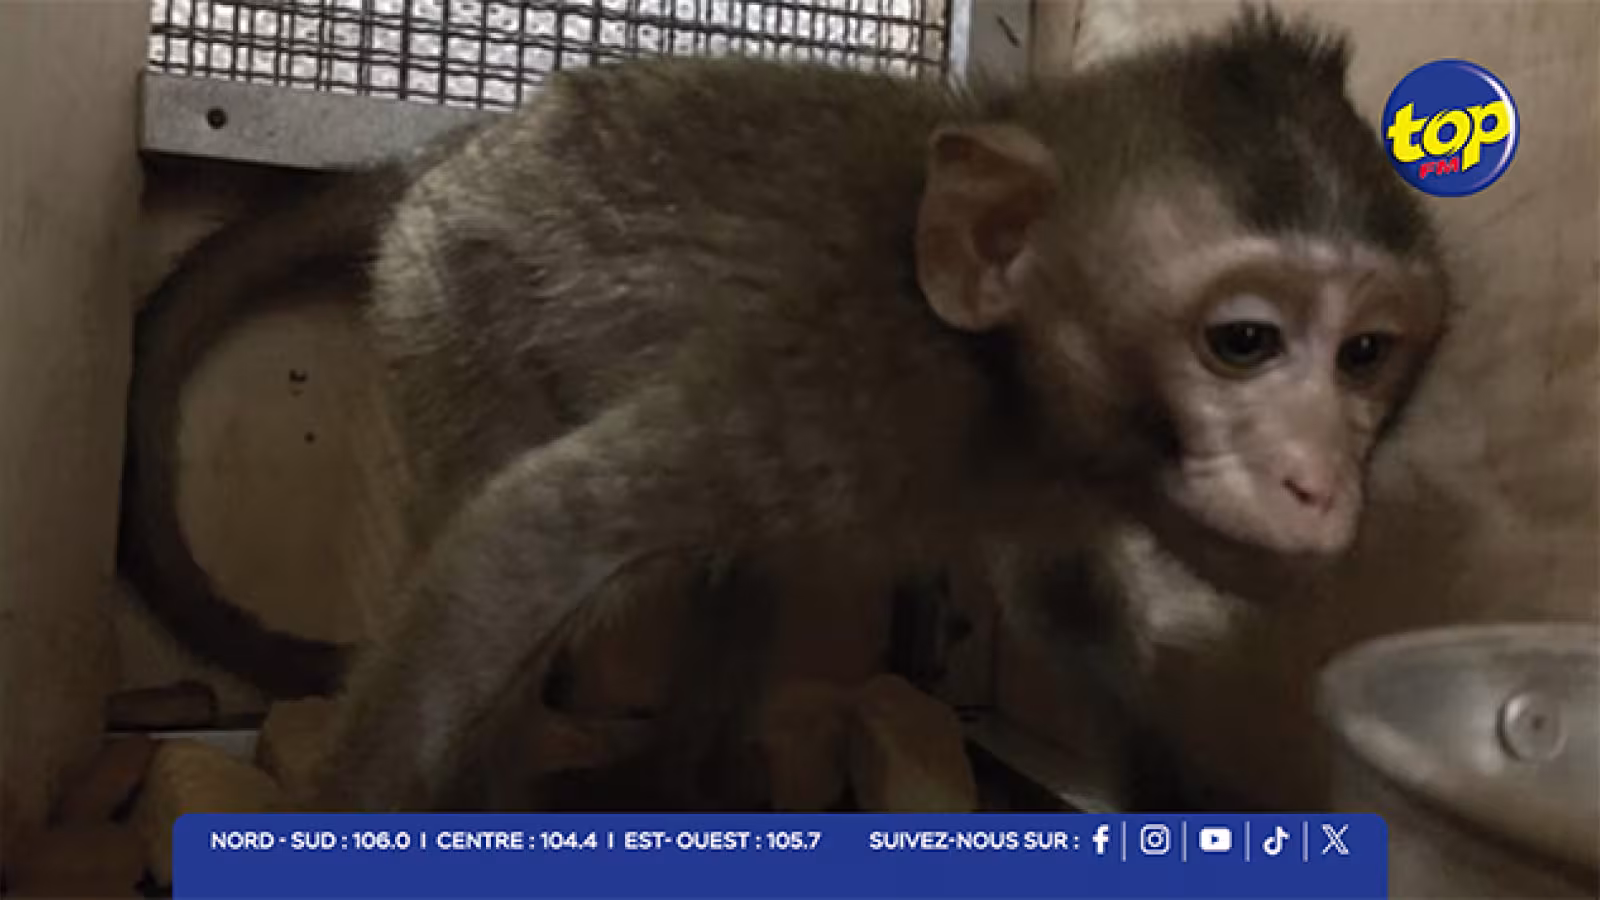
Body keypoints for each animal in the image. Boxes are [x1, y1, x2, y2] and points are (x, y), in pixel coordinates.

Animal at [119, 5, 1450, 812]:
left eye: (1364, 354)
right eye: (1243, 342)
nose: (1320, 479)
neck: (995, 376)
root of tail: (451, 154)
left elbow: (1060, 606)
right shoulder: (835, 380)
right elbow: (531, 530)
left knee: (744, 565)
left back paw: (678, 782)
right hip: (452, 301)